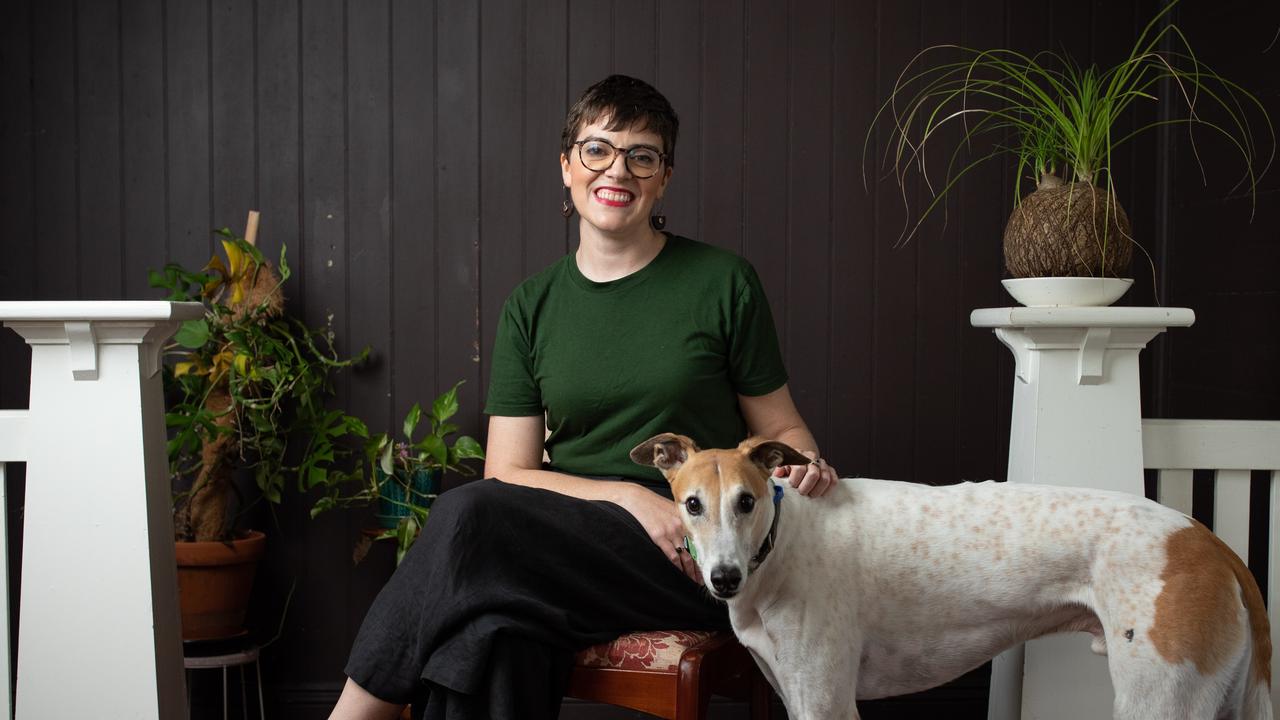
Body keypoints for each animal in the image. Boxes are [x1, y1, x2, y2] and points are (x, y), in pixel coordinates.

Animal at [627, 430, 1269, 717]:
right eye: (692, 504)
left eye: (747, 500)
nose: (724, 579)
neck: (781, 546)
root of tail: (1207, 539)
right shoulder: (795, 696)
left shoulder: (827, 702)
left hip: (1158, 700)